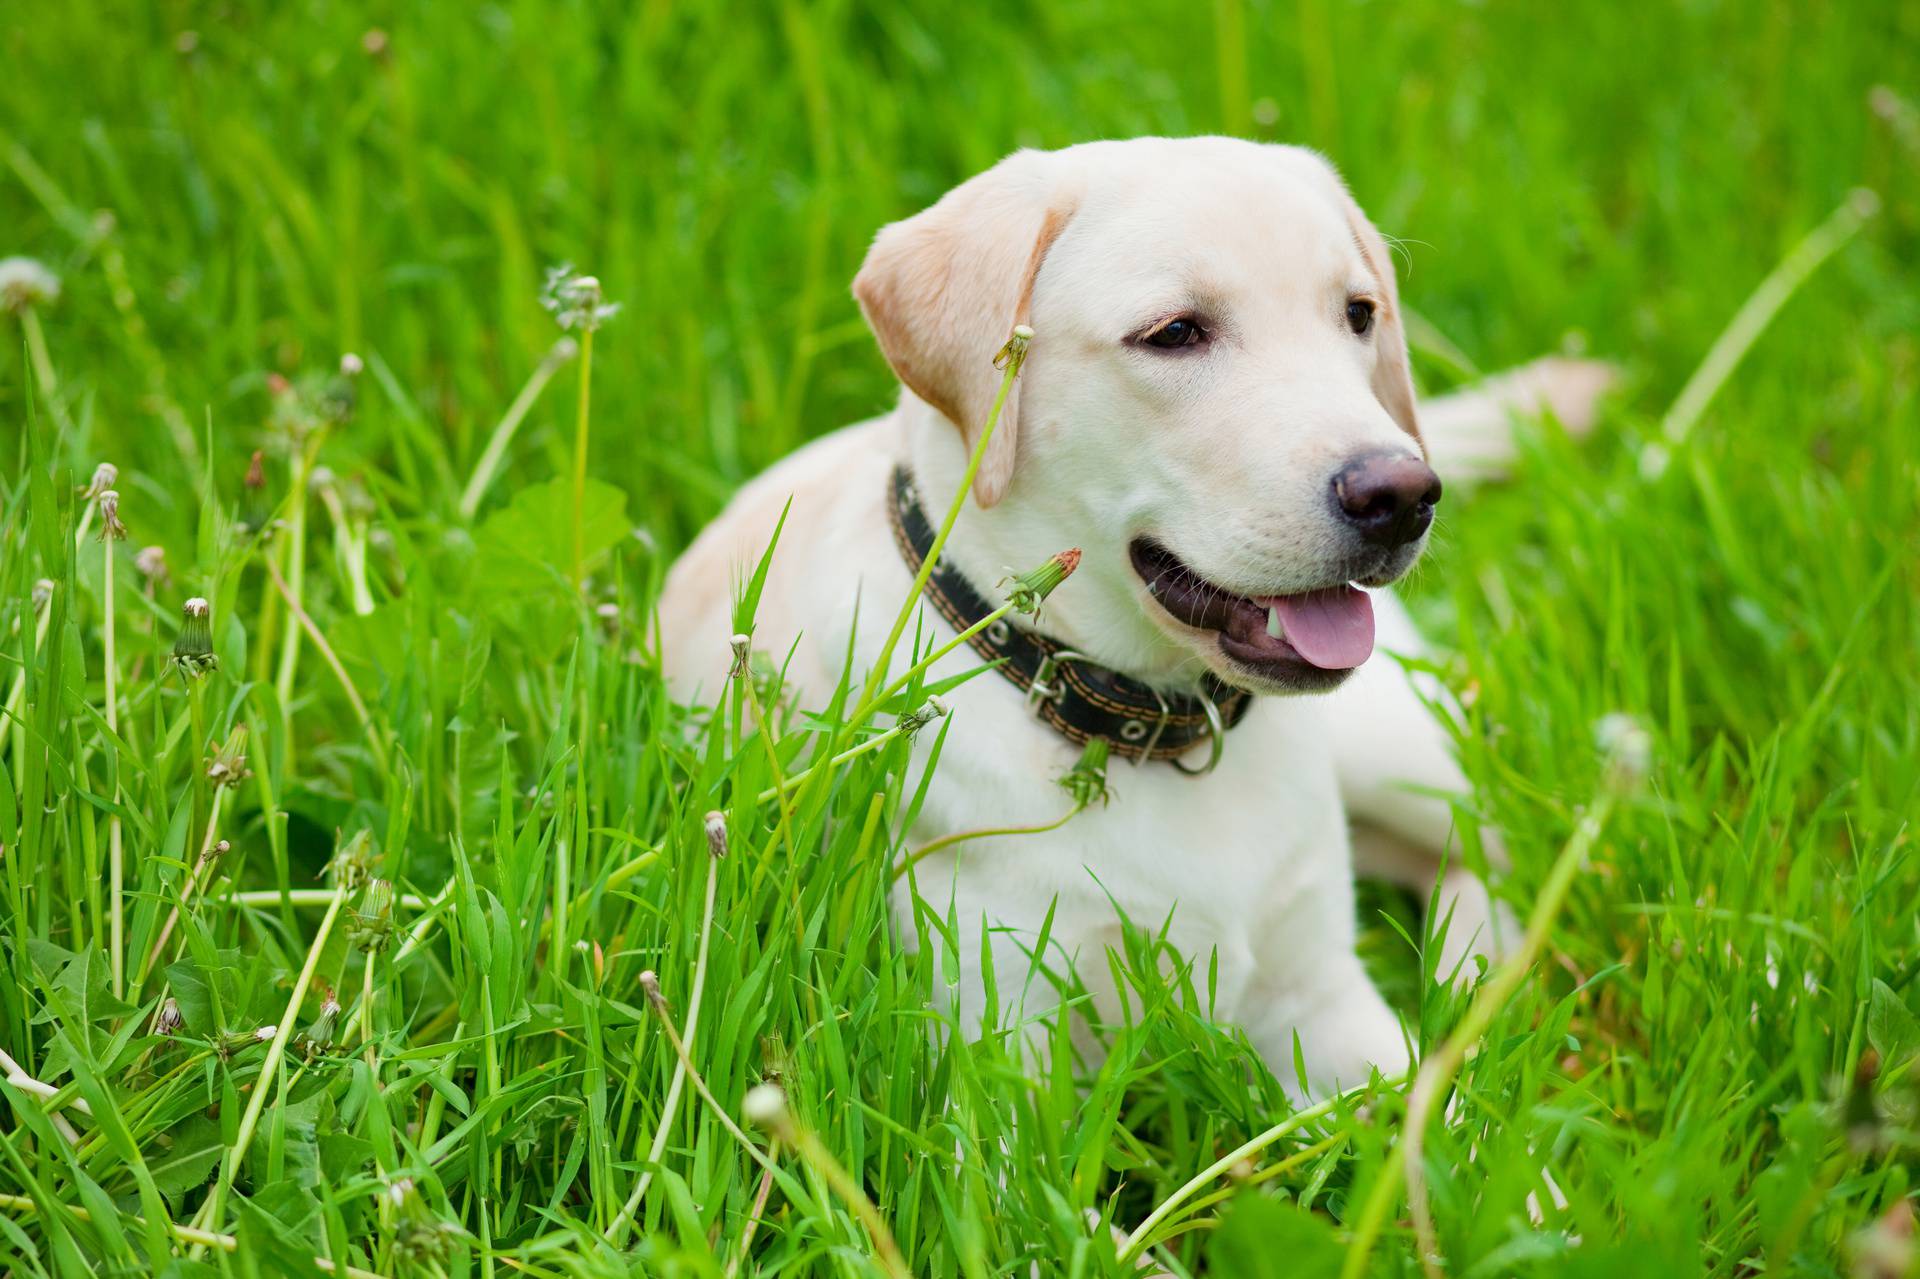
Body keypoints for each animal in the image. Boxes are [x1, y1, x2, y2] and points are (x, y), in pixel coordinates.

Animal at [660, 134, 1605, 1083]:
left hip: (1398, 750)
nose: (1403, 493)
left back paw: (1482, 983)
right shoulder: (998, 1044)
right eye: (1175, 333)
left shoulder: (1324, 1002)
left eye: (1358, 314)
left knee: (1493, 848)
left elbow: (1437, 1115)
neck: (1148, 722)